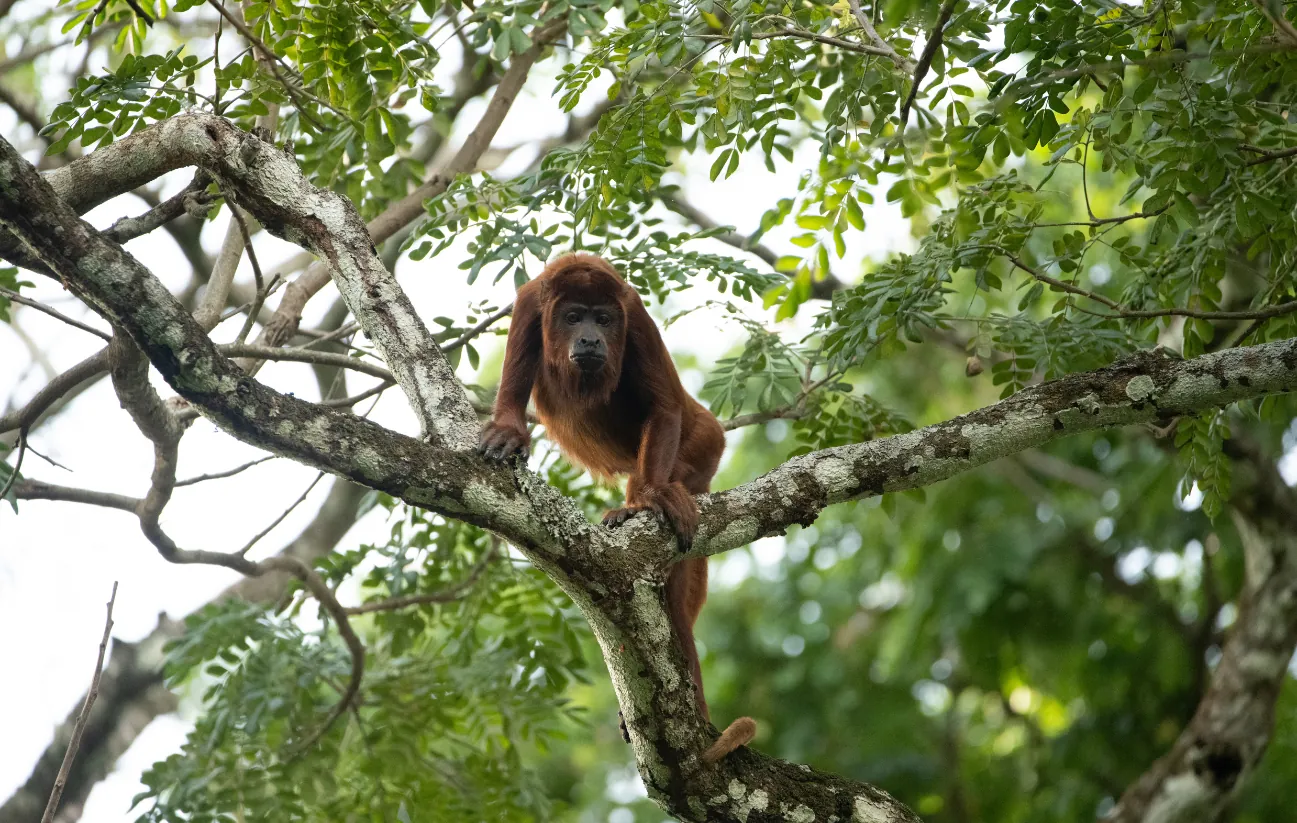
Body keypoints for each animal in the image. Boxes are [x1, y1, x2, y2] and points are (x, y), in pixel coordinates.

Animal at [479, 252, 756, 764]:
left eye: (604, 319)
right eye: (573, 317)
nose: (590, 337)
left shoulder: (636, 315)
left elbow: (663, 406)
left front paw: (650, 495)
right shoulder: (528, 305)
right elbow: (512, 389)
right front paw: (507, 431)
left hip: (705, 442)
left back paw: (639, 503)